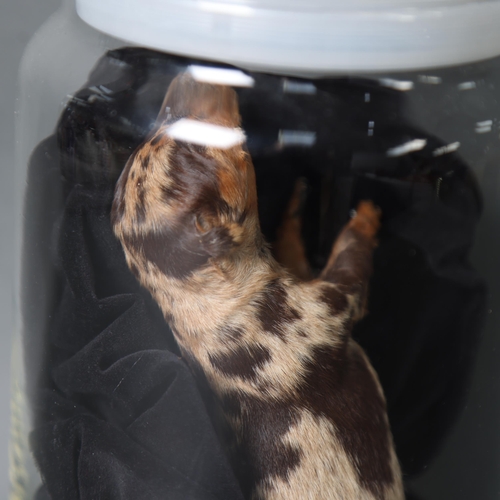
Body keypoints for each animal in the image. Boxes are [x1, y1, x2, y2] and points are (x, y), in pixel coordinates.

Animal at [111, 71, 404, 500]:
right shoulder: (338, 300)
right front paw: (365, 214)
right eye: (194, 141)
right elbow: (352, 248)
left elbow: (294, 244)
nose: (188, 71)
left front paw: (298, 199)